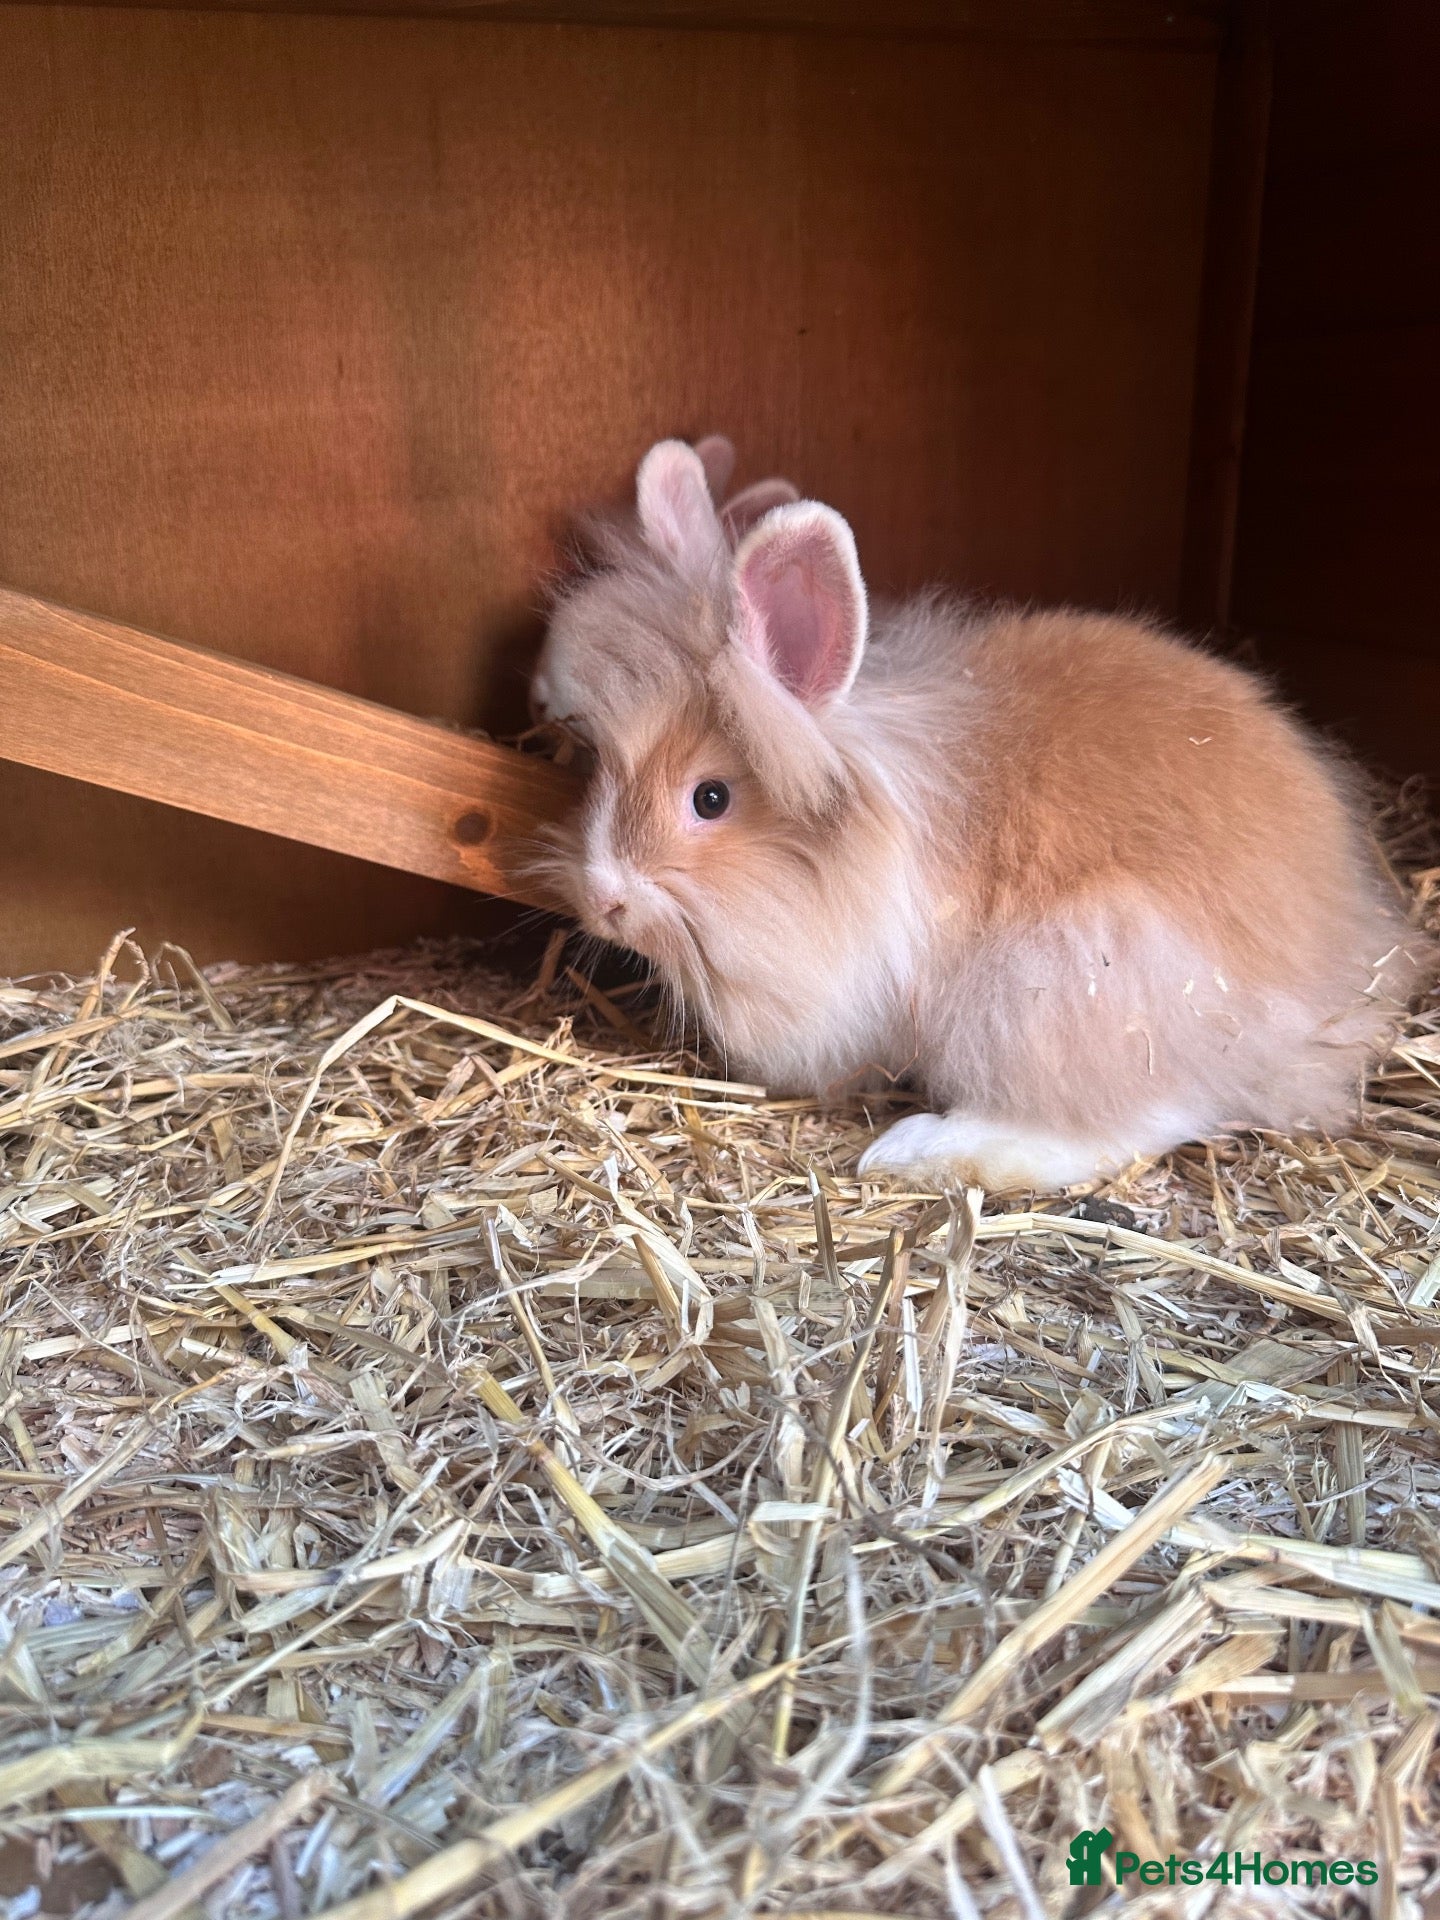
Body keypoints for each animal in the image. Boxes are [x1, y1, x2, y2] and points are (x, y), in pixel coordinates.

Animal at [534, 435, 1426, 1191]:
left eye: (710, 799)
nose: (602, 898)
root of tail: (1345, 980)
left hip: (1061, 983)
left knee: (1140, 1117)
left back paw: (917, 1150)